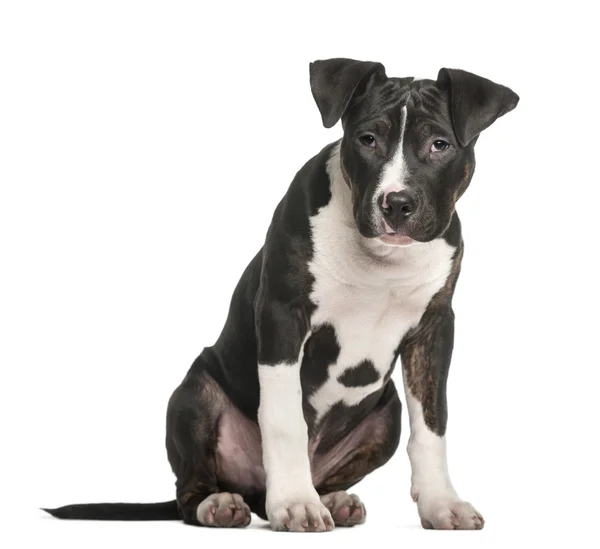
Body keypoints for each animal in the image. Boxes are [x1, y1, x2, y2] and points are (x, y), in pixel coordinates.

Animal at [44, 58, 516, 532]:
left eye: (440, 145)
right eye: (367, 139)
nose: (396, 204)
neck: (380, 258)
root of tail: (253, 493)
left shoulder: (433, 328)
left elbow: (432, 424)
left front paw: (441, 503)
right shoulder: (282, 315)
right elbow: (285, 419)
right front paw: (294, 503)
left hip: (387, 416)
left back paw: (334, 500)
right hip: (194, 393)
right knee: (189, 490)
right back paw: (221, 504)